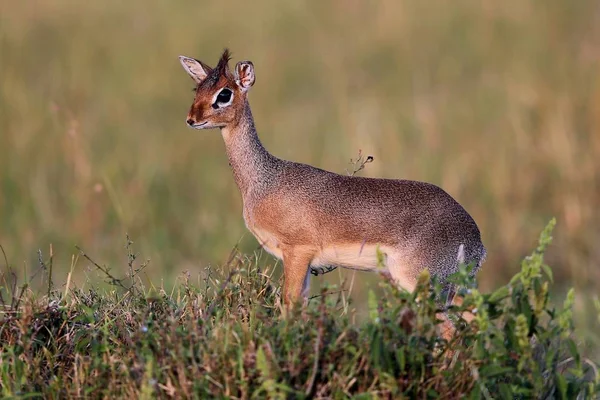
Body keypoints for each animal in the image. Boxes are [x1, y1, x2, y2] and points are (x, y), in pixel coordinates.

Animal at [177, 50, 482, 328]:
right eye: (198, 88)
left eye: (224, 94)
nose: (191, 119)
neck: (265, 180)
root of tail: (475, 240)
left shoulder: (297, 252)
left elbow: (289, 305)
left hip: (423, 287)